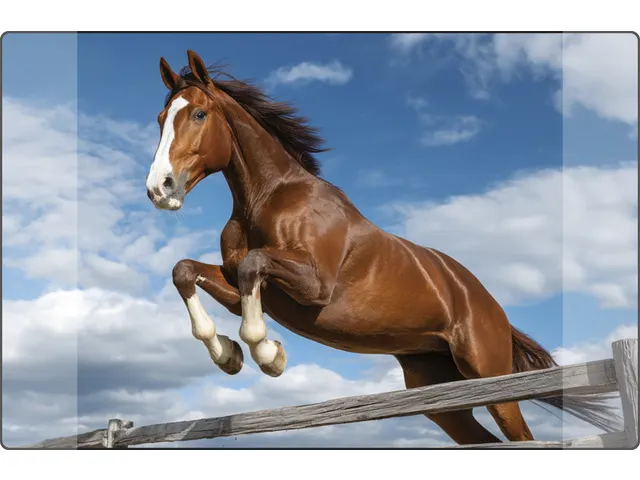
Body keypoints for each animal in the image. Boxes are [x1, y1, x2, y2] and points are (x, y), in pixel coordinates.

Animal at [144, 50, 619, 445]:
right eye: (161, 116)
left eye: (200, 113)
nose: (159, 188)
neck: (266, 197)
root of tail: (493, 308)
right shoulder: (245, 287)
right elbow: (185, 270)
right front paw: (227, 355)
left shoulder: (313, 285)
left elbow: (254, 268)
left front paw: (269, 355)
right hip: (441, 396)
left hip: (490, 378)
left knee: (520, 436)